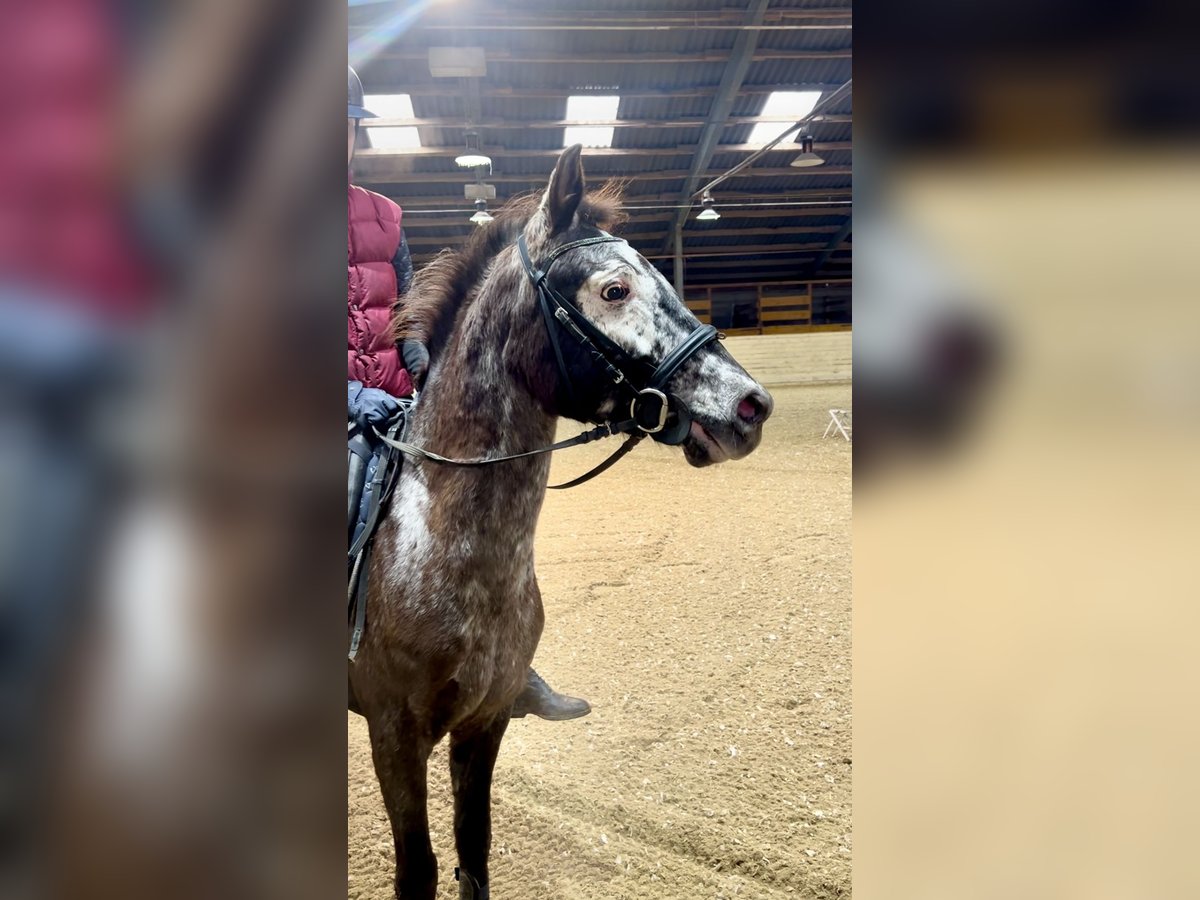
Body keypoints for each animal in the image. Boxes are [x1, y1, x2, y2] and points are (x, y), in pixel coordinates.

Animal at [350, 144, 772, 897]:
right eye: (614, 291)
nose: (751, 405)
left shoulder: (485, 722)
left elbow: (474, 849)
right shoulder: (393, 735)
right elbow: (418, 871)